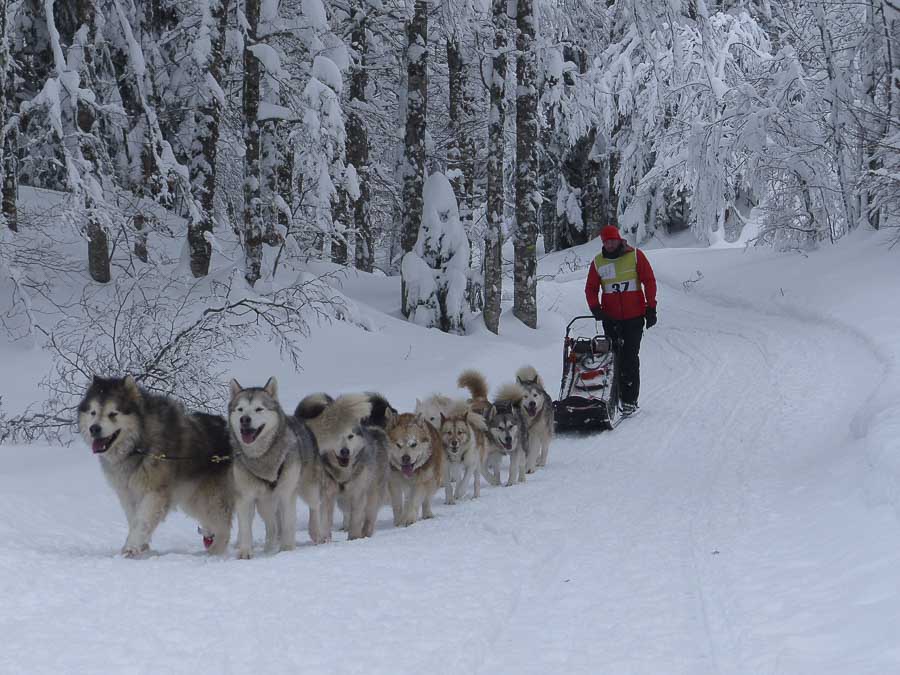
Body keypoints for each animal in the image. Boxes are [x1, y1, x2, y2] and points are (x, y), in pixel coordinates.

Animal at [78, 378, 234, 556]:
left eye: (113, 413)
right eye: (93, 412)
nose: (94, 428)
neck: (139, 445)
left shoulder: (155, 492)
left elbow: (142, 519)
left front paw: (131, 547)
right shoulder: (127, 493)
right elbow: (134, 519)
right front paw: (141, 546)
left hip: (210, 497)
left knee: (223, 526)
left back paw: (215, 552)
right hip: (192, 498)